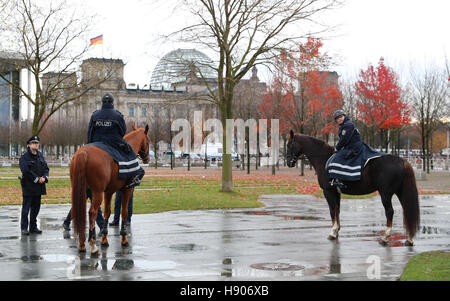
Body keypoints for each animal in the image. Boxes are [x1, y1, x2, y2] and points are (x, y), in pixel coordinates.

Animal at [68, 124, 149, 253]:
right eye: (148, 141)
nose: (147, 158)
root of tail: (83, 153)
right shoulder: (127, 190)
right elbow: (124, 212)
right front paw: (124, 238)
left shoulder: (109, 192)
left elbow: (107, 212)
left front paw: (104, 239)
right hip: (97, 192)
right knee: (92, 212)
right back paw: (92, 243)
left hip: (82, 191)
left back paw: (82, 243)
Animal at [286, 130, 420, 245]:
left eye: (289, 145)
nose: (288, 163)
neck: (323, 159)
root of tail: (403, 161)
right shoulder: (336, 193)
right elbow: (337, 210)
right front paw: (336, 232)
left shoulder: (328, 192)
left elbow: (332, 211)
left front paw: (333, 232)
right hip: (400, 192)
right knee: (407, 210)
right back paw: (409, 239)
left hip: (385, 194)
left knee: (390, 212)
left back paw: (385, 237)